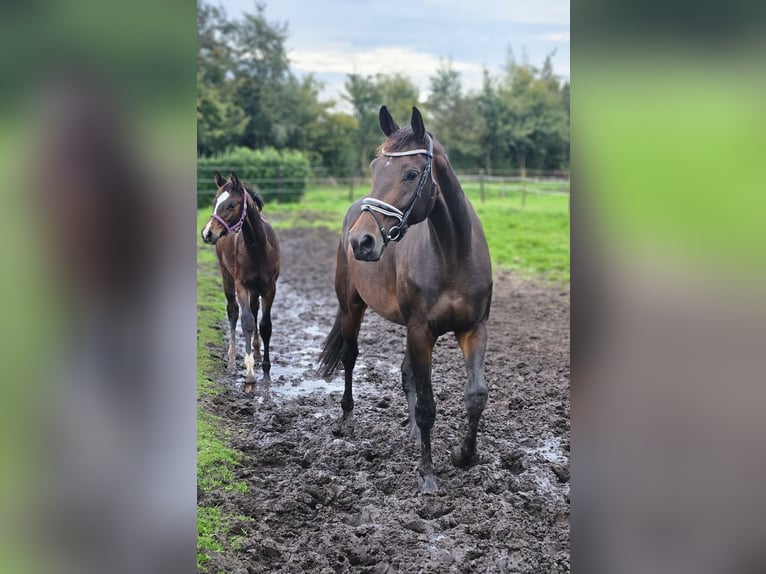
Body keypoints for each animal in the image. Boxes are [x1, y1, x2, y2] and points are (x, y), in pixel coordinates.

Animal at [202, 173, 280, 384]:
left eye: (231, 205)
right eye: (214, 202)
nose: (207, 233)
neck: (258, 248)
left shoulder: (269, 287)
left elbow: (265, 325)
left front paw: (266, 369)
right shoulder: (241, 284)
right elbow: (245, 321)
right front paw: (250, 372)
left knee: (254, 309)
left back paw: (257, 351)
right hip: (227, 277)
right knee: (233, 311)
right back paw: (231, 360)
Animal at [320, 106, 496, 492]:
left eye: (412, 173)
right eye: (374, 168)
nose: (361, 241)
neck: (453, 253)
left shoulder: (473, 327)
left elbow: (476, 395)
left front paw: (464, 455)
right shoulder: (420, 331)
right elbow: (428, 405)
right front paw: (427, 475)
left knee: (405, 375)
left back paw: (414, 435)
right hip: (351, 307)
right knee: (350, 357)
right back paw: (347, 419)